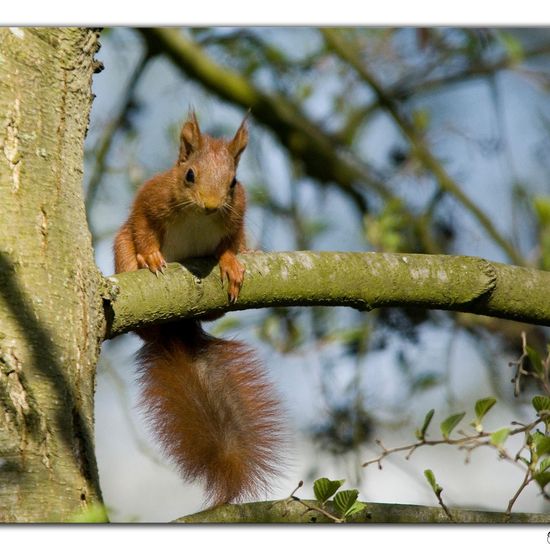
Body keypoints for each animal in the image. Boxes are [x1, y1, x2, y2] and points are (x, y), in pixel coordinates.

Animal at [112, 112, 284, 508]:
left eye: (233, 182)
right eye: (189, 174)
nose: (209, 203)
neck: (198, 217)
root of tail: (176, 325)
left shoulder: (237, 218)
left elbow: (228, 245)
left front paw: (231, 263)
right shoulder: (150, 199)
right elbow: (143, 227)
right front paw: (149, 257)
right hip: (120, 249)